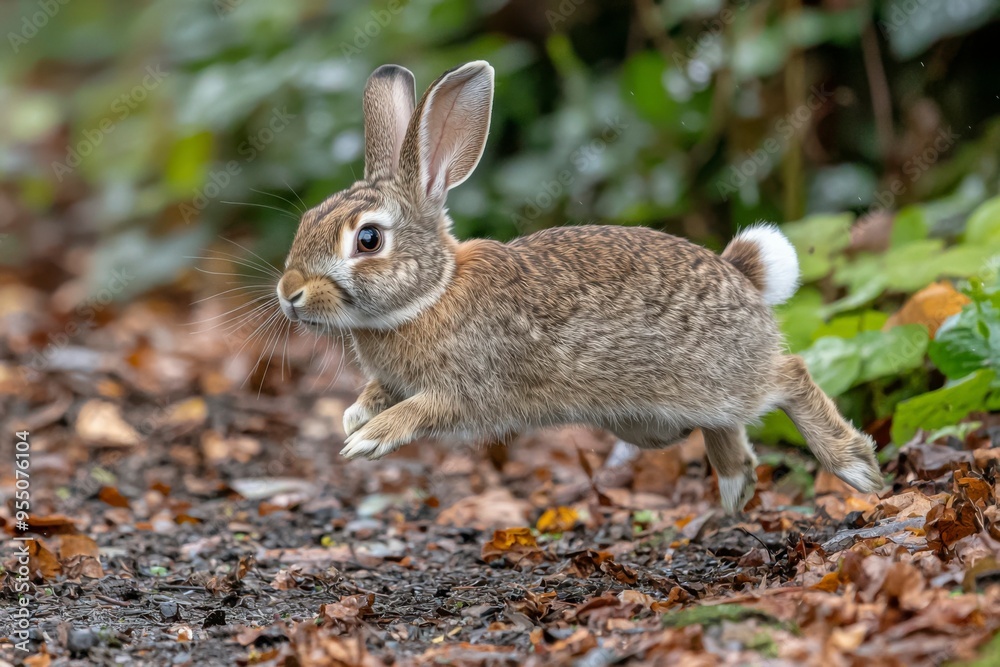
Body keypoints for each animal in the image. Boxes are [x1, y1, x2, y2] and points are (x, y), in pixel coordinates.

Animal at [275, 61, 883, 511]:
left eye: (369, 239)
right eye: (306, 220)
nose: (289, 293)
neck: (432, 293)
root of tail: (745, 276)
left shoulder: (469, 388)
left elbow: (424, 410)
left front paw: (368, 438)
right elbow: (378, 391)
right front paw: (356, 415)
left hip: (721, 377)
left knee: (789, 375)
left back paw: (856, 468)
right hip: (657, 421)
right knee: (727, 429)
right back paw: (736, 489)